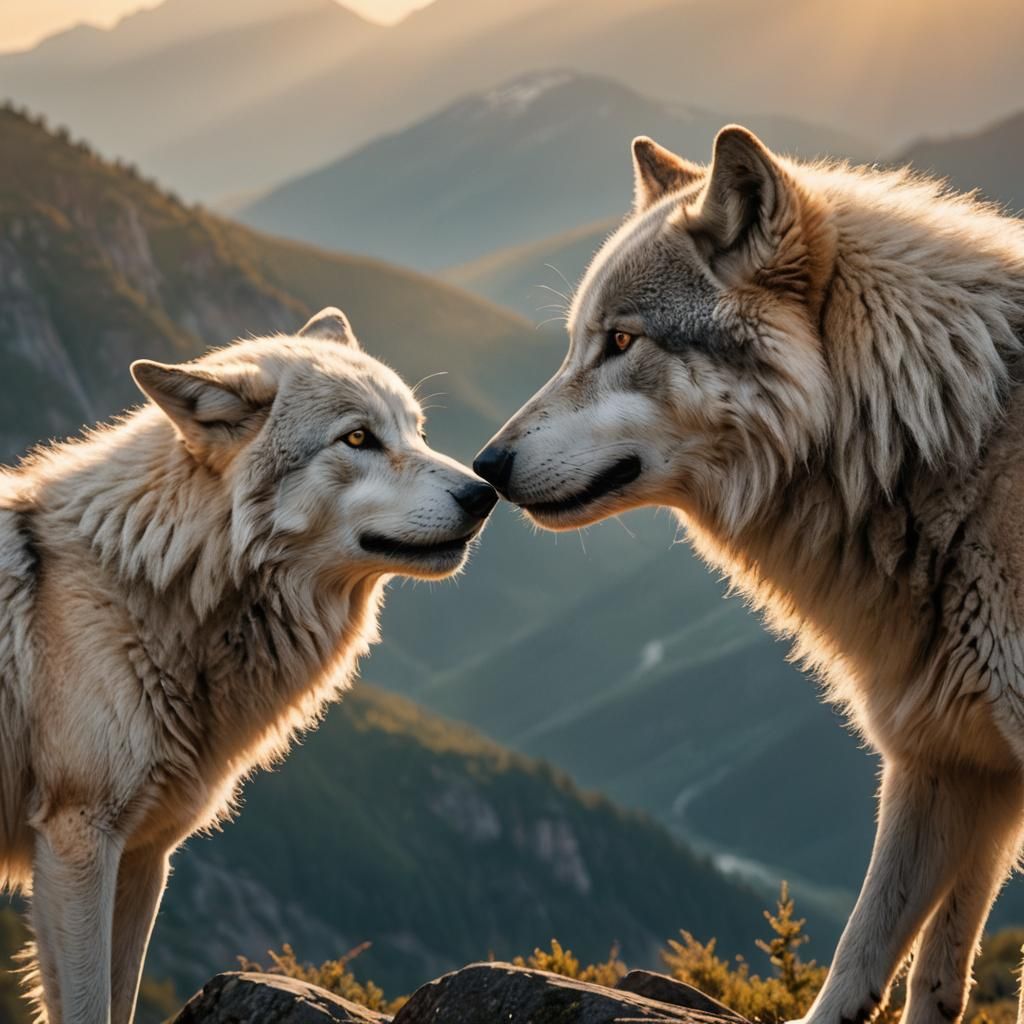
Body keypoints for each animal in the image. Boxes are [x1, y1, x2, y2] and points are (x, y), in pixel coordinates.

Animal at [0, 307, 496, 1024]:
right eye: (357, 438)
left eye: (417, 432)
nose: (486, 491)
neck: (155, 583)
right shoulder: (79, 839)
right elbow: (91, 1004)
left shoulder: (145, 853)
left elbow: (121, 998)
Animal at [475, 126, 1024, 1024]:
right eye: (576, 341)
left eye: (620, 341)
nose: (484, 467)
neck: (946, 441)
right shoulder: (947, 762)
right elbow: (886, 961)